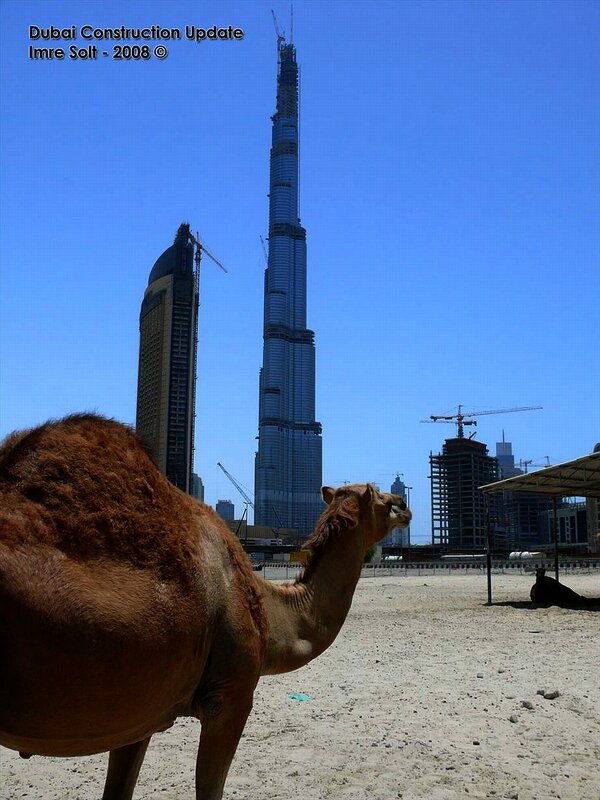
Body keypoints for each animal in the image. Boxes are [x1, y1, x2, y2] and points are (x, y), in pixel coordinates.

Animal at [0, 413, 411, 800]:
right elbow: (210, 789)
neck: (267, 608)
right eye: (382, 499)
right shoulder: (229, 697)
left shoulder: (143, 713)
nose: (405, 504)